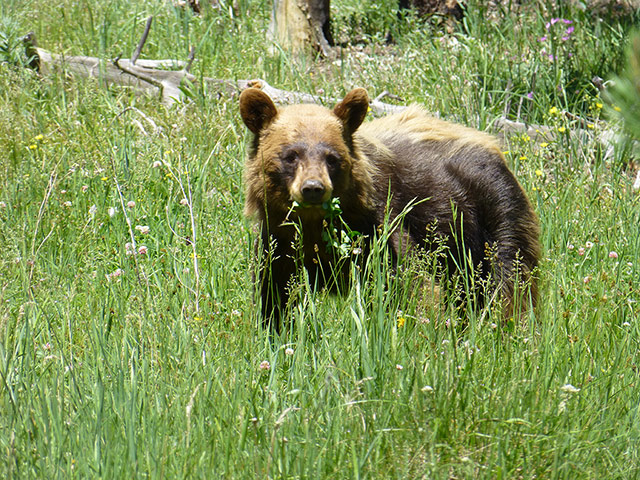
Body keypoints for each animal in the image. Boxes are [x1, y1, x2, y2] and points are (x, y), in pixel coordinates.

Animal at [239, 87, 540, 330]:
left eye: (332, 157)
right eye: (291, 155)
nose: (313, 188)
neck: (316, 224)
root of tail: (492, 144)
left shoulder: (378, 228)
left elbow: (413, 282)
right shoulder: (279, 242)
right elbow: (274, 296)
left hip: (495, 210)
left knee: (511, 279)